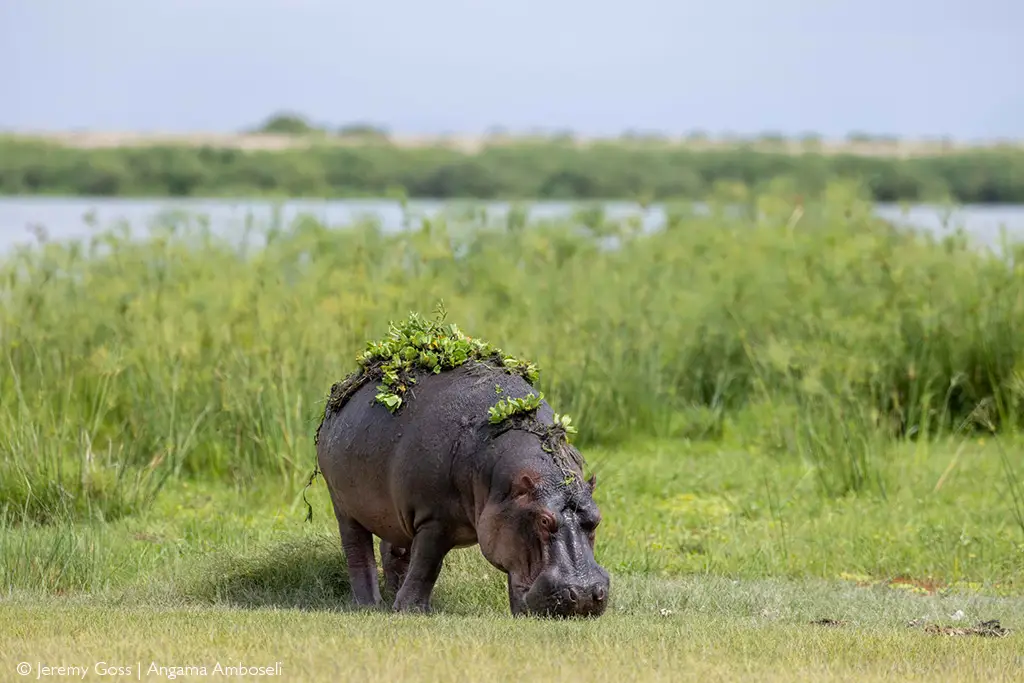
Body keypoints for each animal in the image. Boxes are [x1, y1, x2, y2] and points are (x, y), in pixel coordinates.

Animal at [313, 360, 609, 617]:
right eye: (544, 520)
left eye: (597, 519)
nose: (584, 595)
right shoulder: (433, 519)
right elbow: (427, 565)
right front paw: (411, 611)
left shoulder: (504, 525)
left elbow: (511, 570)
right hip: (343, 507)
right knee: (358, 551)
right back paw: (368, 604)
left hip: (396, 514)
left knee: (396, 550)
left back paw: (391, 596)